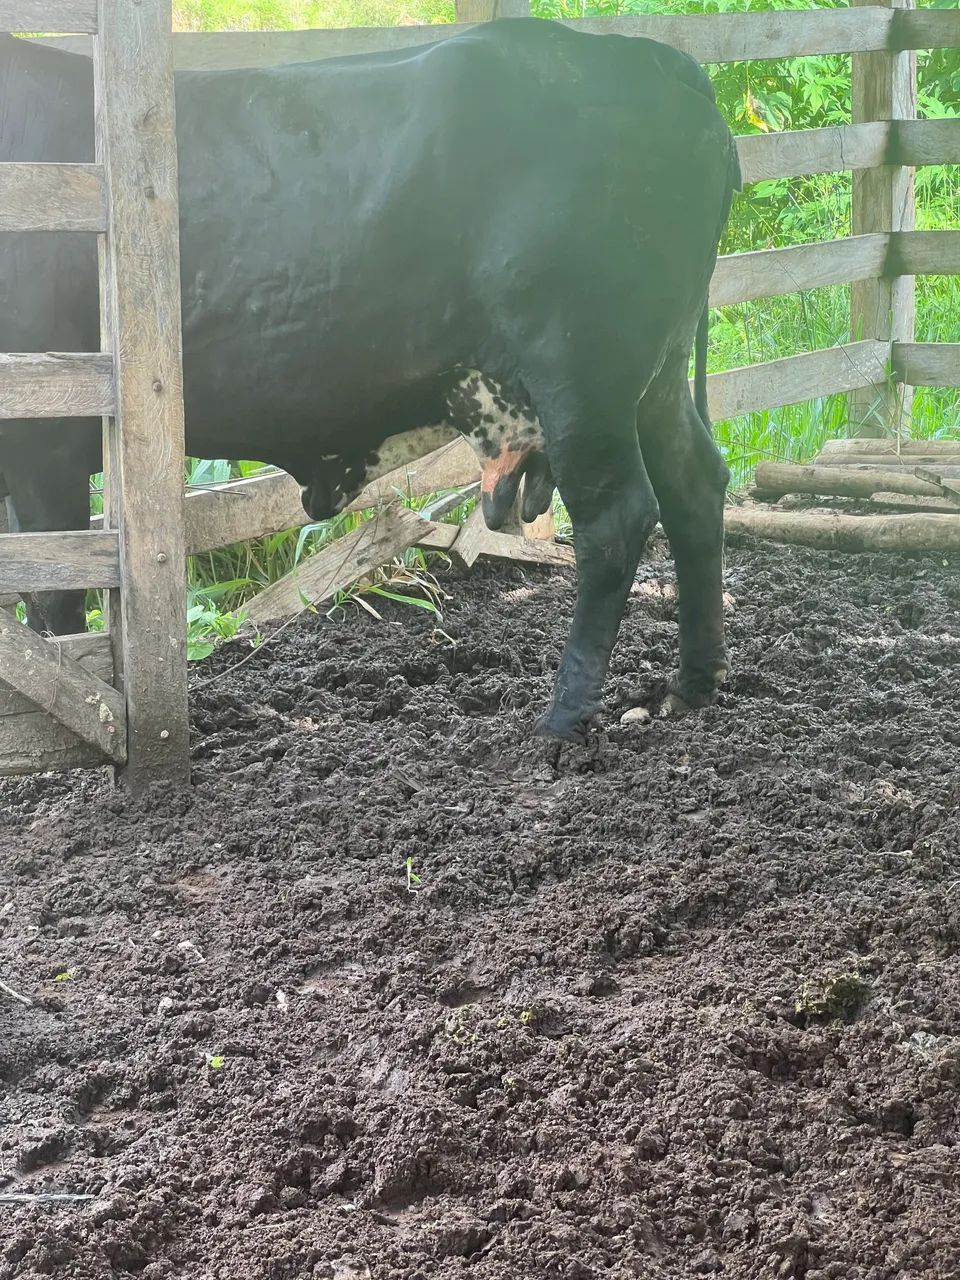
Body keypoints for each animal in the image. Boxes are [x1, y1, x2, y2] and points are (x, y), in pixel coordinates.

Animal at [0, 19, 740, 744]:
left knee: (617, 520)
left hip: (580, 373)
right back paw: (691, 685)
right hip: (653, 379)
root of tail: (643, 57)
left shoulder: (45, 438)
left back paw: (562, 723)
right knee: (695, 485)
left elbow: (55, 594)